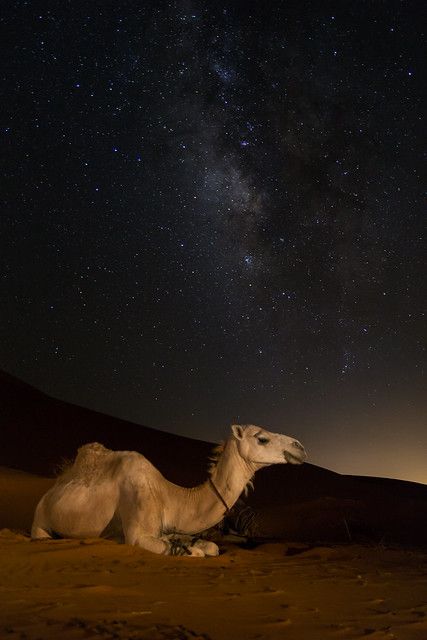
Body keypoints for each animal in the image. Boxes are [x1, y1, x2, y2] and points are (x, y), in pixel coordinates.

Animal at [32, 424, 308, 556]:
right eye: (262, 438)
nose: (300, 447)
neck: (169, 496)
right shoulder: (138, 535)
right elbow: (193, 552)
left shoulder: (171, 528)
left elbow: (210, 546)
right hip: (41, 519)